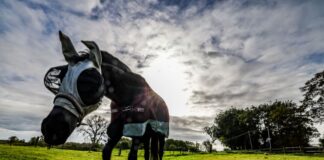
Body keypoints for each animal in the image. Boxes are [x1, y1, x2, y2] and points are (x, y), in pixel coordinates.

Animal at [40, 30, 170, 159]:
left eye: (90, 81)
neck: (128, 98)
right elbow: (106, 151)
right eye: (60, 80)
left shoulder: (137, 131)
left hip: (160, 135)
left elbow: (132, 156)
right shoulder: (116, 131)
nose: (51, 128)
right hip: (148, 136)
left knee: (159, 152)